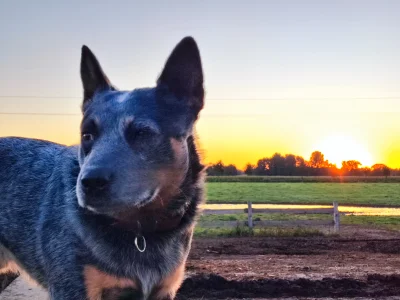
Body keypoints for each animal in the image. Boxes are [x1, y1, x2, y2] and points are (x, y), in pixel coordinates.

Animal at [0, 36, 206, 298]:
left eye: (141, 133)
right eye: (87, 135)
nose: (90, 182)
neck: (141, 233)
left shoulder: (164, 289)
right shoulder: (74, 287)